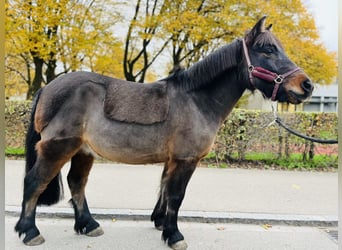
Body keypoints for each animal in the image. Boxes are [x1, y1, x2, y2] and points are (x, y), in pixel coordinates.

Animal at [14, 16, 312, 249]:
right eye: (268, 50)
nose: (306, 85)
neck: (196, 99)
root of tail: (47, 88)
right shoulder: (185, 160)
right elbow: (177, 195)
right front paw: (174, 234)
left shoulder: (172, 160)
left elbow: (165, 191)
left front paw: (160, 223)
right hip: (58, 148)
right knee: (34, 182)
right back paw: (29, 231)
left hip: (83, 151)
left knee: (77, 183)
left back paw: (88, 224)